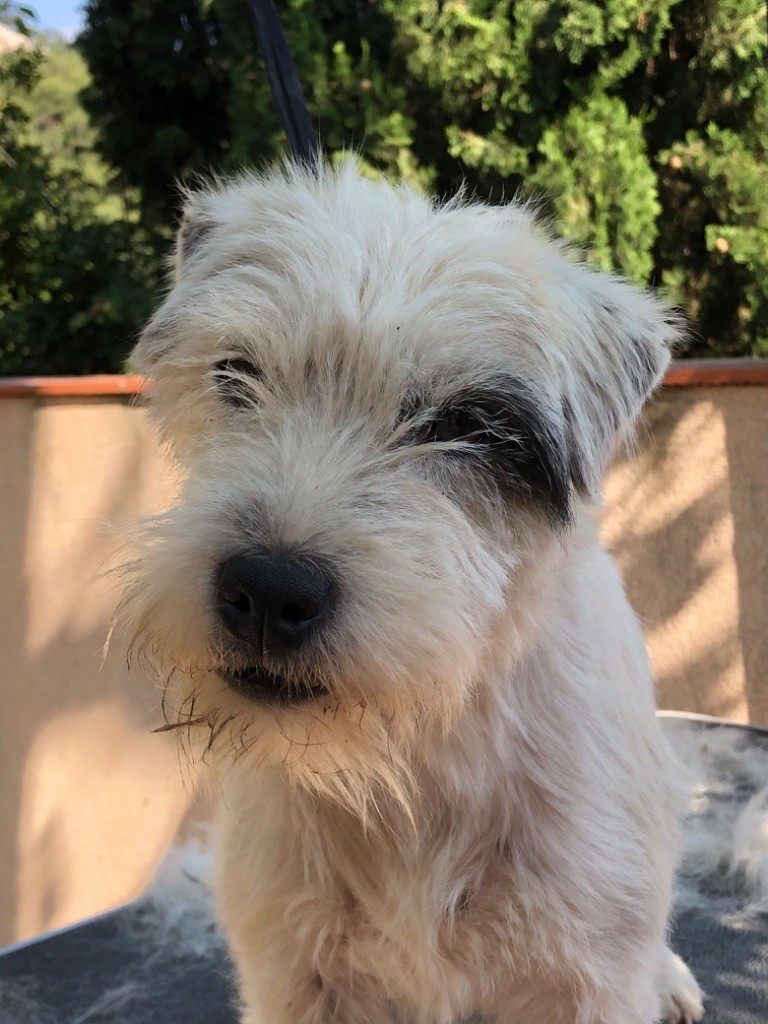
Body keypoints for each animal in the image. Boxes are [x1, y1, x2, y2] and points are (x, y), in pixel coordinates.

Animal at [120, 161, 704, 1024]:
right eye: (236, 374)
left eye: (468, 425)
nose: (266, 589)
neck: (418, 751)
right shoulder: (298, 972)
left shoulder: (584, 972)